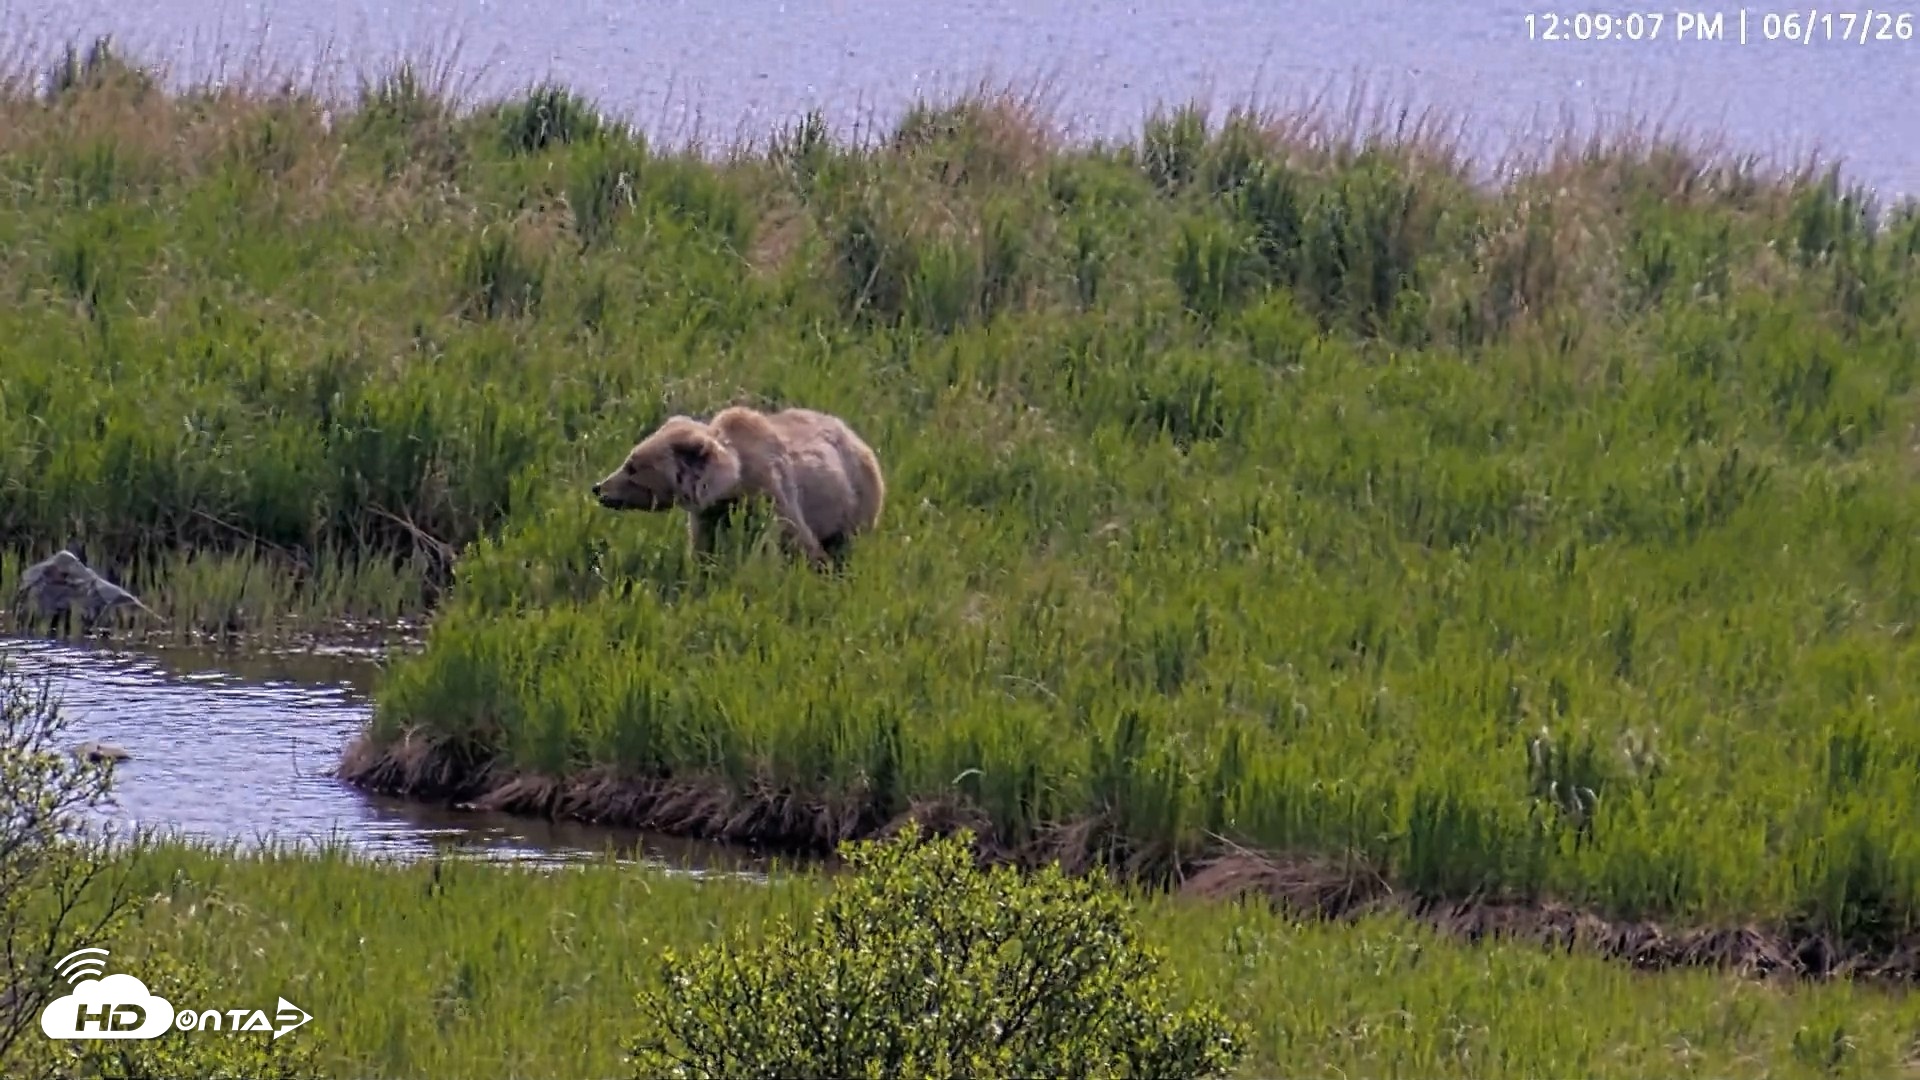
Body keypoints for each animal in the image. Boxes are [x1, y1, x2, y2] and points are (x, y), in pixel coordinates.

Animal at [590, 405, 886, 569]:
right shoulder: (710, 513)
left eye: (632, 467)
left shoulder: (770, 492)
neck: (735, 483)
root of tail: (855, 435)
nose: (599, 488)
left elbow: (796, 538)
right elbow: (703, 546)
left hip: (856, 499)